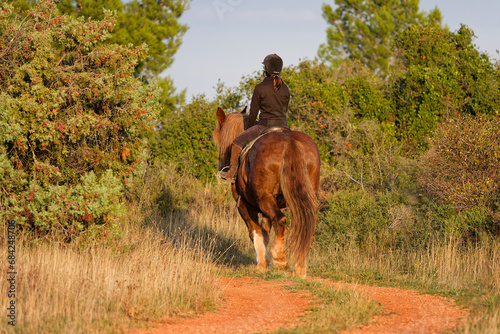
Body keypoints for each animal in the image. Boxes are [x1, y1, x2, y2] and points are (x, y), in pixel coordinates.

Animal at [211, 106, 320, 276]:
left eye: (218, 139)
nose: (221, 166)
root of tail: (289, 140)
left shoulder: (244, 205)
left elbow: (255, 231)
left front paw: (262, 264)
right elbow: (266, 232)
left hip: (264, 199)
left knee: (281, 220)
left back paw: (281, 260)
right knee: (306, 224)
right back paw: (300, 267)